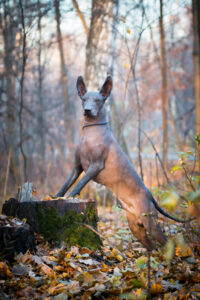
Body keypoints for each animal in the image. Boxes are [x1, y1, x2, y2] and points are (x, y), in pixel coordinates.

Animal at [55, 76, 191, 250]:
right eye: (84, 100)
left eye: (98, 100)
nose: (87, 110)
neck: (91, 133)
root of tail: (149, 194)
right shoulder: (77, 167)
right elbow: (65, 184)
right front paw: (56, 198)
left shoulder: (95, 166)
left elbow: (79, 184)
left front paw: (71, 197)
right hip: (135, 227)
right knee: (151, 246)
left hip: (151, 224)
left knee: (166, 243)